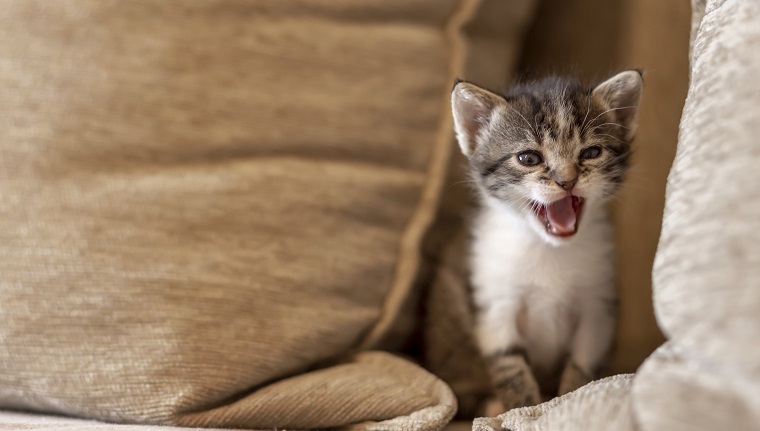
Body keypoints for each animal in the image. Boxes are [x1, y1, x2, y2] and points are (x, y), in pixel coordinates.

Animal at [452, 69, 640, 410]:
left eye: (591, 152)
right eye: (529, 158)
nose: (567, 181)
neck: (548, 249)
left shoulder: (598, 303)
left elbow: (582, 365)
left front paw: (567, 399)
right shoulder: (494, 303)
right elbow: (509, 365)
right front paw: (521, 407)